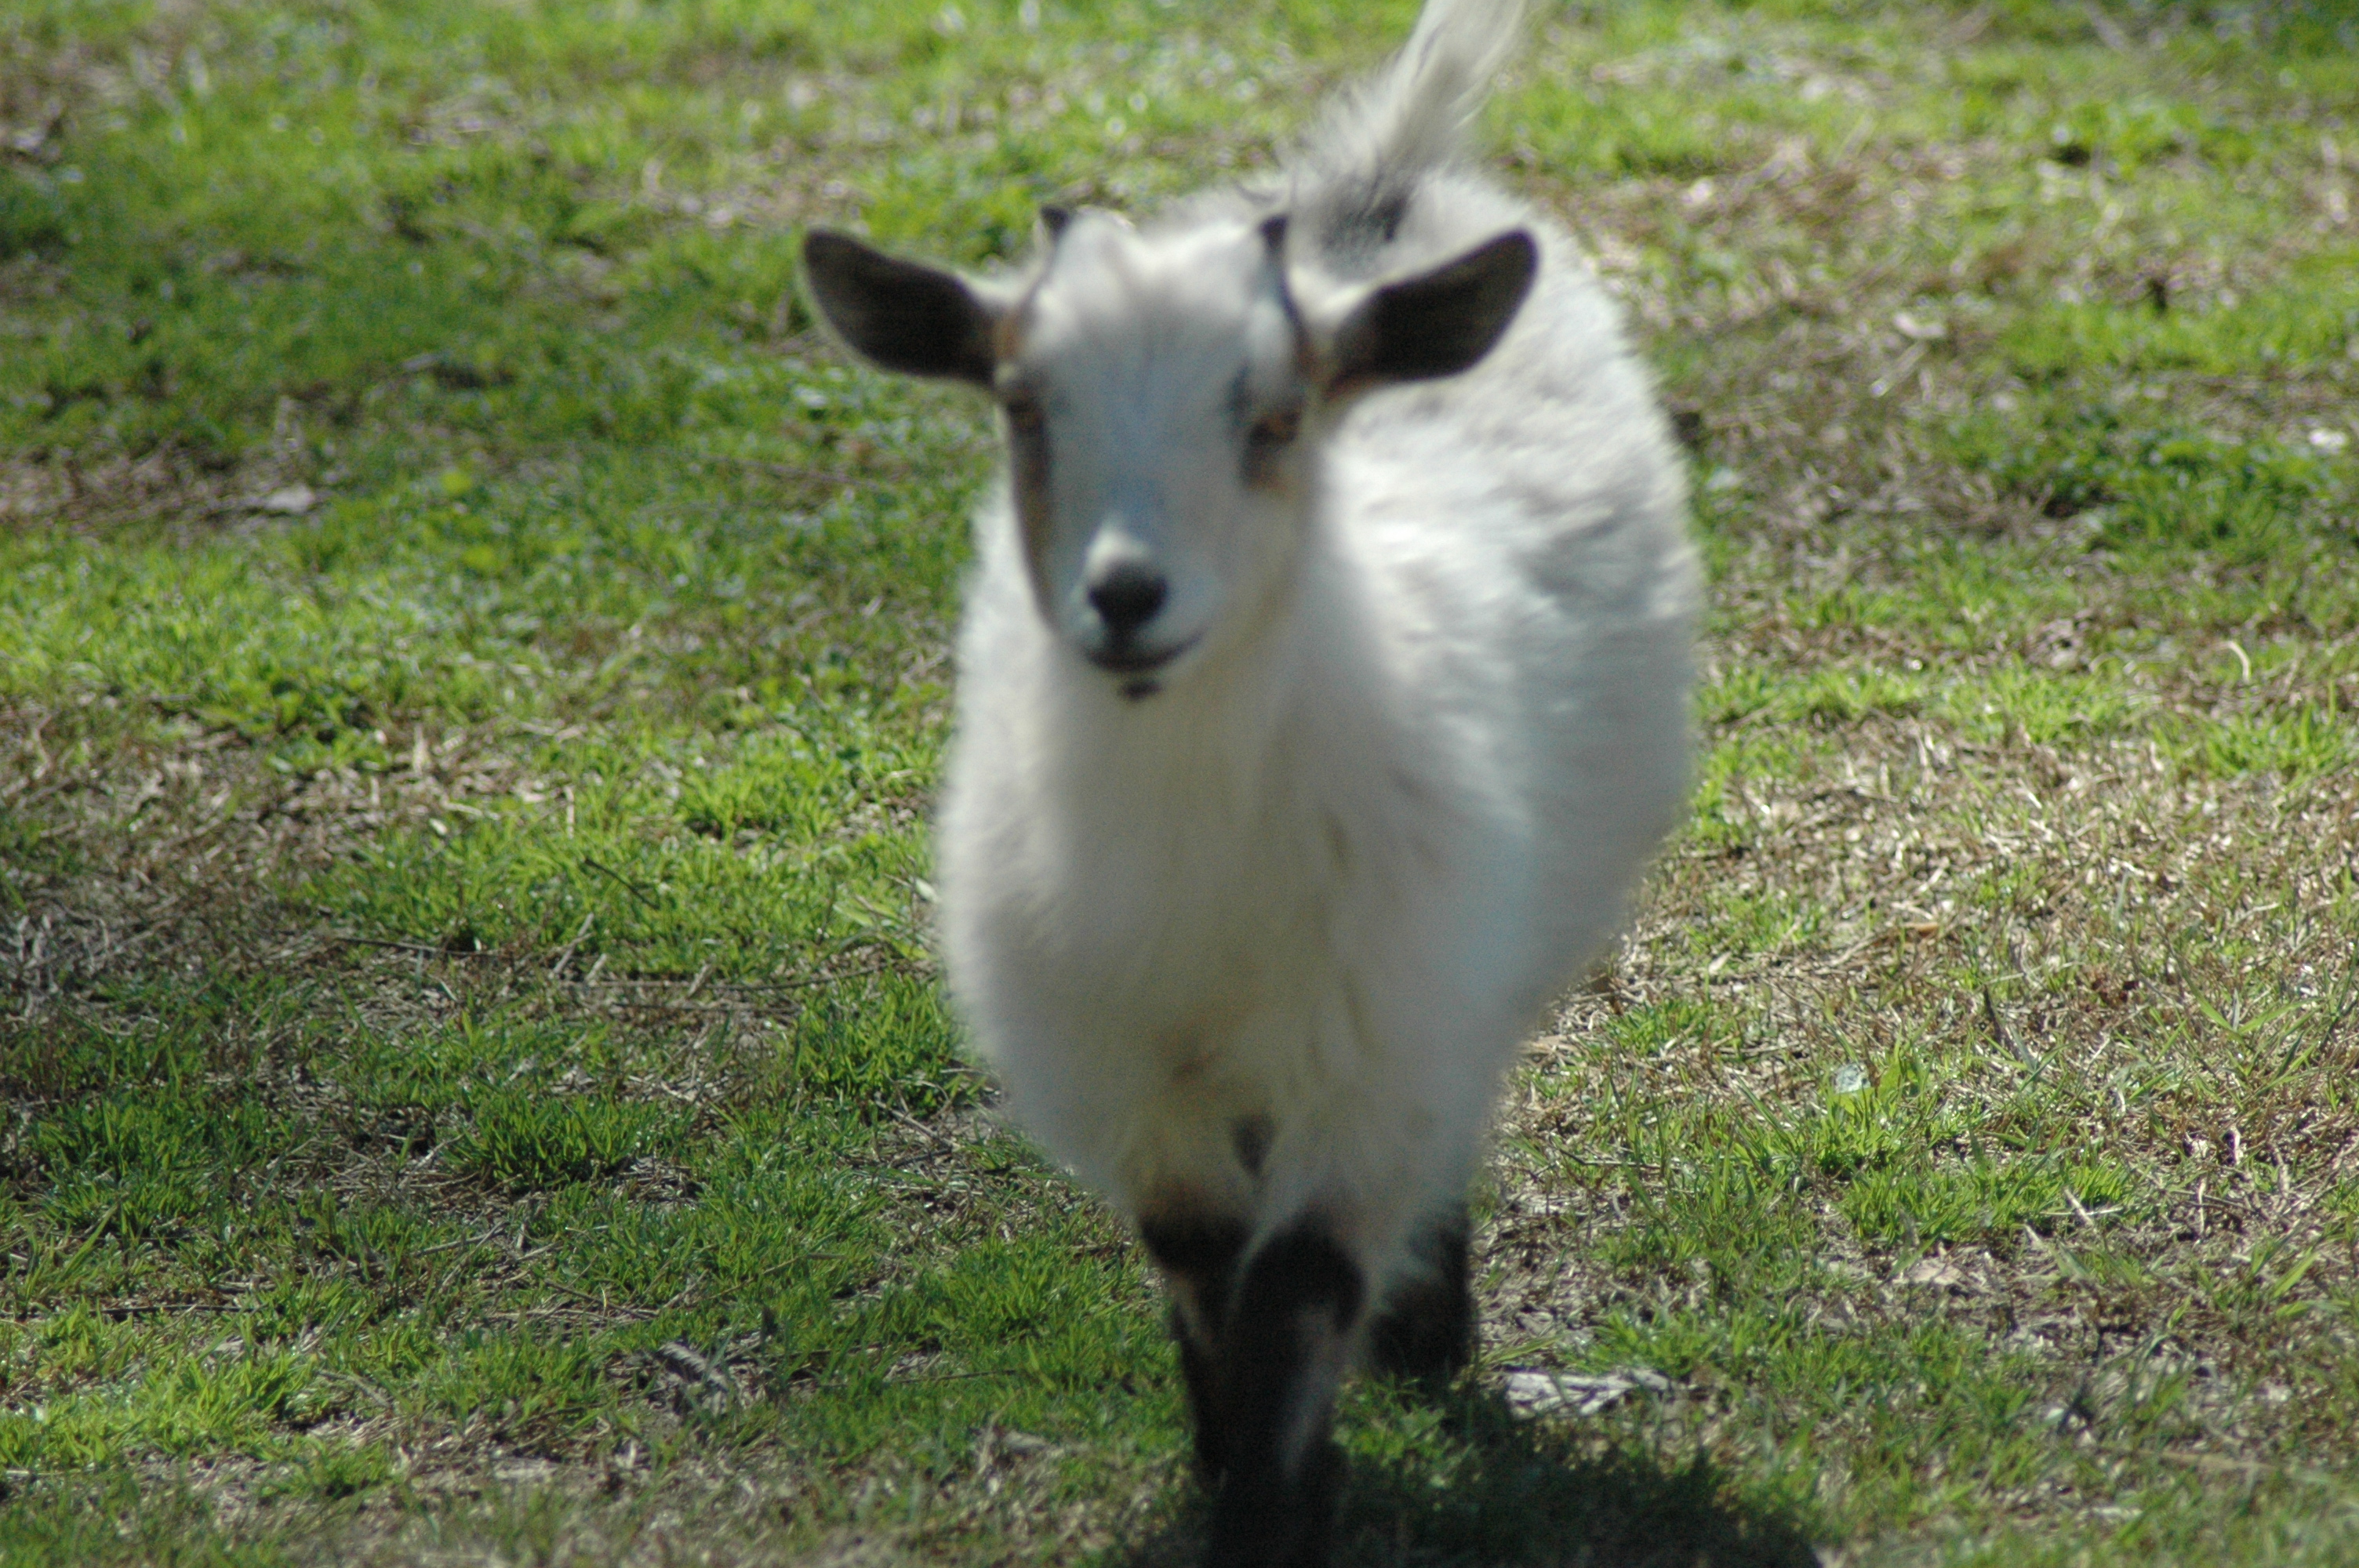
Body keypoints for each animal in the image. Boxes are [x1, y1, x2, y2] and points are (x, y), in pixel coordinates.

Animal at [800, 1, 1696, 1561]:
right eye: (1022, 405)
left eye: (1274, 417)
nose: (1125, 597)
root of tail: (1380, 188)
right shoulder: (1127, 1074)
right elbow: (1205, 1269)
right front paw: (1236, 1462)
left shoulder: (1372, 1045)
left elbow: (1296, 1288)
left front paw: (1280, 1502)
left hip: (1462, 971)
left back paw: (1429, 1329)